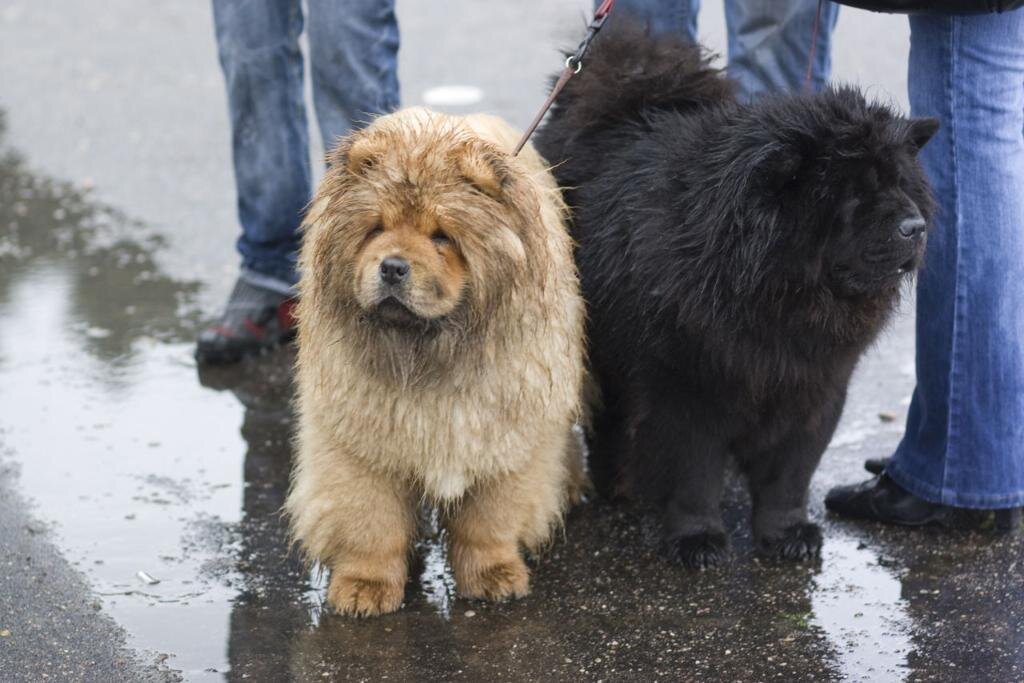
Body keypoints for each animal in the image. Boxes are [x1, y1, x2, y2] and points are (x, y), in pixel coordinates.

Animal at [540, 22, 937, 565]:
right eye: (855, 194)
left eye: (901, 185)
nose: (915, 226)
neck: (770, 292)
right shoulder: (688, 389)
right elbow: (693, 474)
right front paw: (697, 540)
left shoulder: (815, 387)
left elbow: (790, 475)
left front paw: (788, 534)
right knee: (612, 419)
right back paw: (616, 483)